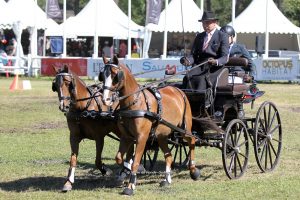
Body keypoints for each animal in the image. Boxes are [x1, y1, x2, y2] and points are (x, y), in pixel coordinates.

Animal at [99, 55, 200, 195]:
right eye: (102, 75)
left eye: (115, 75)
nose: (106, 99)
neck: (134, 102)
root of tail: (178, 90)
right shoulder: (126, 137)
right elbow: (120, 158)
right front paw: (127, 171)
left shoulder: (141, 137)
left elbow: (135, 161)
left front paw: (130, 186)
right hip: (162, 136)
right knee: (169, 156)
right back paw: (166, 180)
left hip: (184, 129)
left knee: (191, 141)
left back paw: (193, 170)